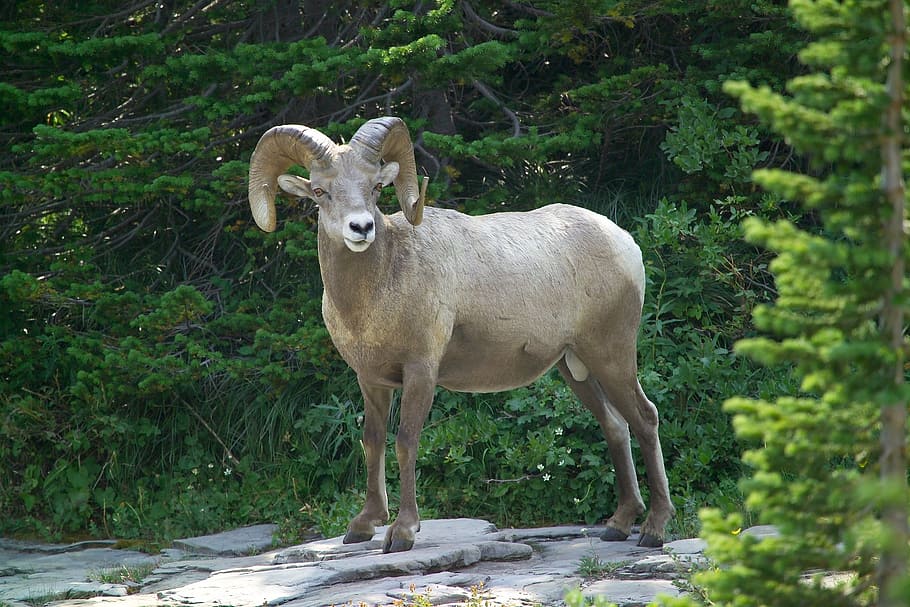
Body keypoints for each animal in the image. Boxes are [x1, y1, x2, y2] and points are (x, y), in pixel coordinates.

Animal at [249, 116, 676, 552]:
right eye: (321, 191)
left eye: (375, 187)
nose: (361, 228)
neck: (377, 292)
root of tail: (625, 243)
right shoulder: (371, 380)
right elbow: (373, 440)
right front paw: (363, 526)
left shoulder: (421, 372)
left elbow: (405, 441)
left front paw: (402, 532)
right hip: (575, 367)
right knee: (615, 425)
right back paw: (618, 524)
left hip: (611, 355)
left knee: (645, 418)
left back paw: (653, 529)